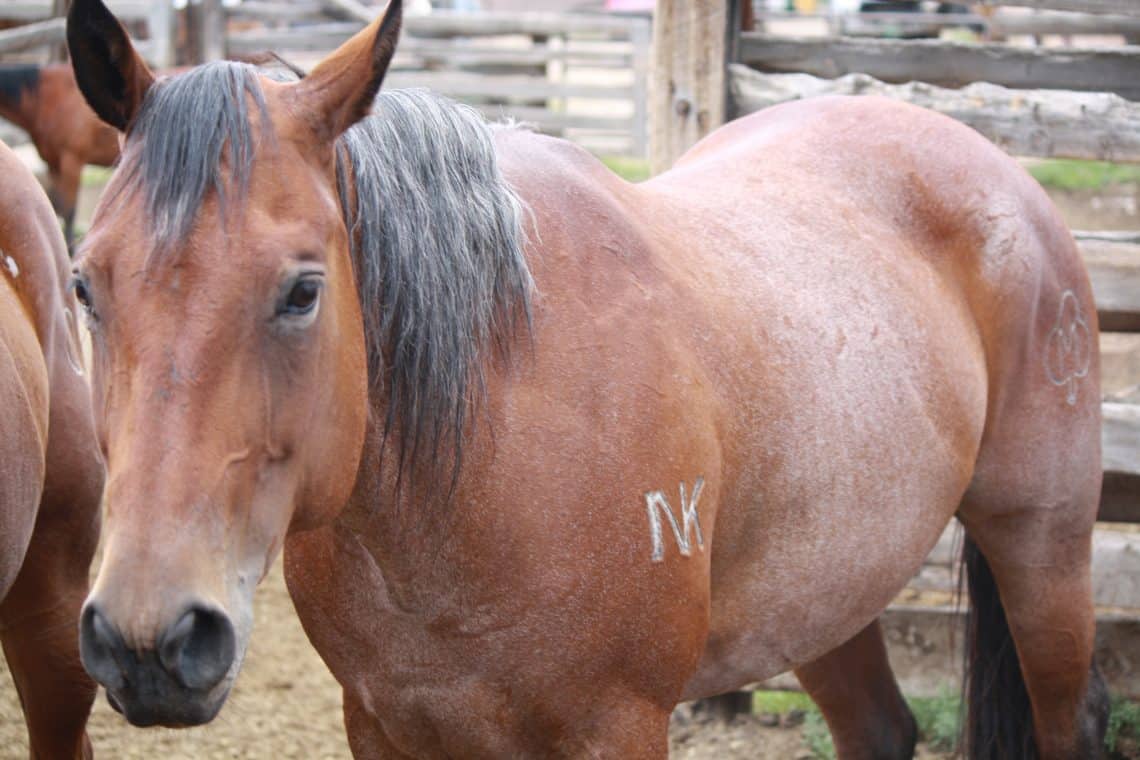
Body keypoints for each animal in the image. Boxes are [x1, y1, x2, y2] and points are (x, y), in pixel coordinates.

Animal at [68, 0, 1103, 756]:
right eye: (84, 285)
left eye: (302, 290)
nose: (148, 638)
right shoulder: (386, 725)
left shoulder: (618, 725)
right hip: (829, 587)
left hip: (1044, 555)